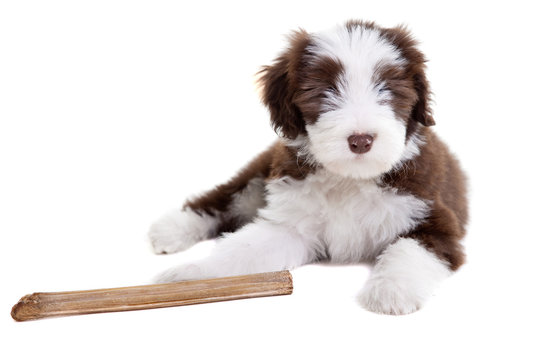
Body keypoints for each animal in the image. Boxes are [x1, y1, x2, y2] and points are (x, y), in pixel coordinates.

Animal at [148, 21, 468, 316]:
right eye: (325, 90)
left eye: (387, 89)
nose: (361, 141)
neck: (350, 178)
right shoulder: (291, 223)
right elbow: (242, 249)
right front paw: (192, 277)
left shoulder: (434, 218)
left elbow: (409, 249)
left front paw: (391, 290)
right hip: (258, 176)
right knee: (225, 198)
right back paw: (171, 229)